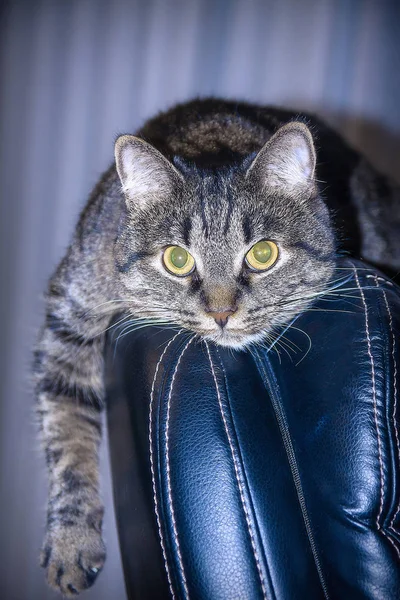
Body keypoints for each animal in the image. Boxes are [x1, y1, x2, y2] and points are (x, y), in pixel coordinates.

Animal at [35, 98, 400, 596]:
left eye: (263, 254)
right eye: (176, 259)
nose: (222, 312)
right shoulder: (69, 323)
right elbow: (67, 440)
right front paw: (71, 543)